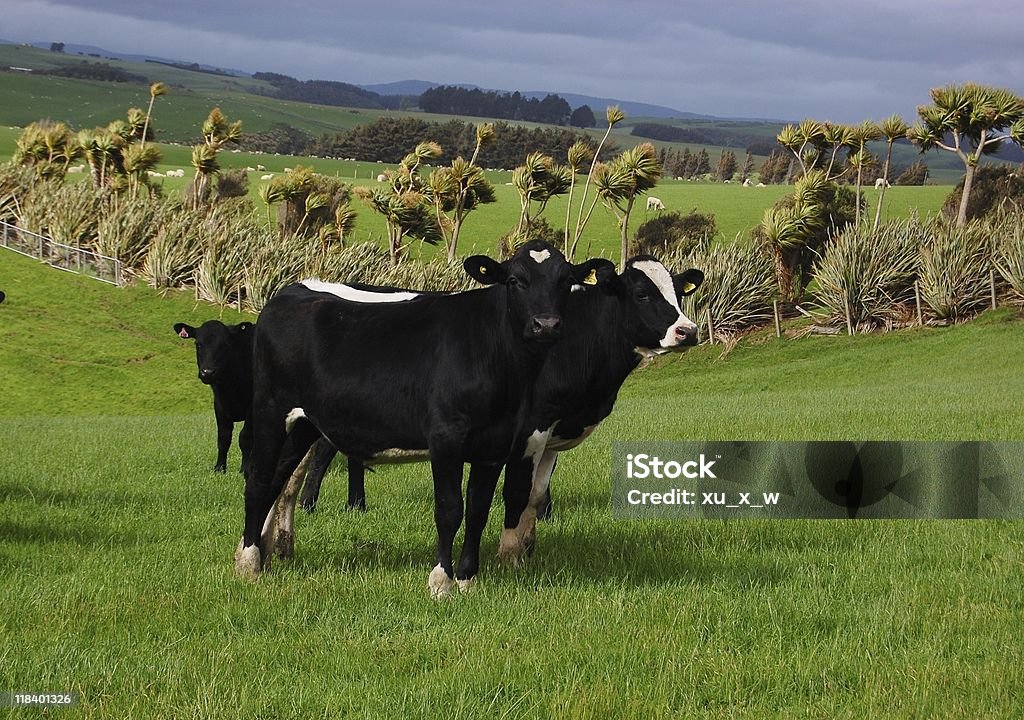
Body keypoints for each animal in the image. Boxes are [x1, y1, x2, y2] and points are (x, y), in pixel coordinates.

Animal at [174, 319, 253, 473]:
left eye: (224, 344)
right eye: (198, 344)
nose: (208, 372)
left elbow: (245, 437)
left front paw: (244, 469)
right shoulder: (219, 405)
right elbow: (223, 437)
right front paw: (219, 468)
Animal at [235, 241, 610, 598]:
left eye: (566, 281)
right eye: (516, 280)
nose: (546, 324)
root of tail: (289, 292)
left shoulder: (494, 443)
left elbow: (478, 510)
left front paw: (467, 580)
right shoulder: (446, 437)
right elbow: (449, 509)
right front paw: (441, 582)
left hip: (304, 422)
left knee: (278, 478)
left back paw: (259, 552)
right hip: (270, 409)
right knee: (258, 480)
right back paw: (249, 563)